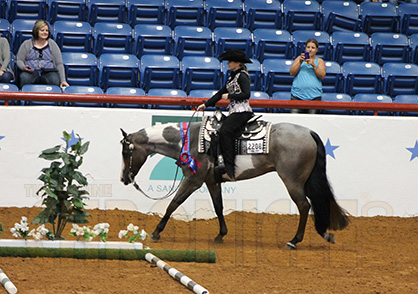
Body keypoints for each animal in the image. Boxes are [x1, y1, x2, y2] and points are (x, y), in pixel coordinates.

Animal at [121, 120, 350, 249]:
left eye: (126, 152)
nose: (124, 178)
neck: (190, 141)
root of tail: (309, 133)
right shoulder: (211, 181)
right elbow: (218, 207)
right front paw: (220, 235)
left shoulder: (193, 180)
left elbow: (173, 204)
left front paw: (156, 232)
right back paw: (324, 234)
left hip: (292, 180)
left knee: (304, 205)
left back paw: (294, 240)